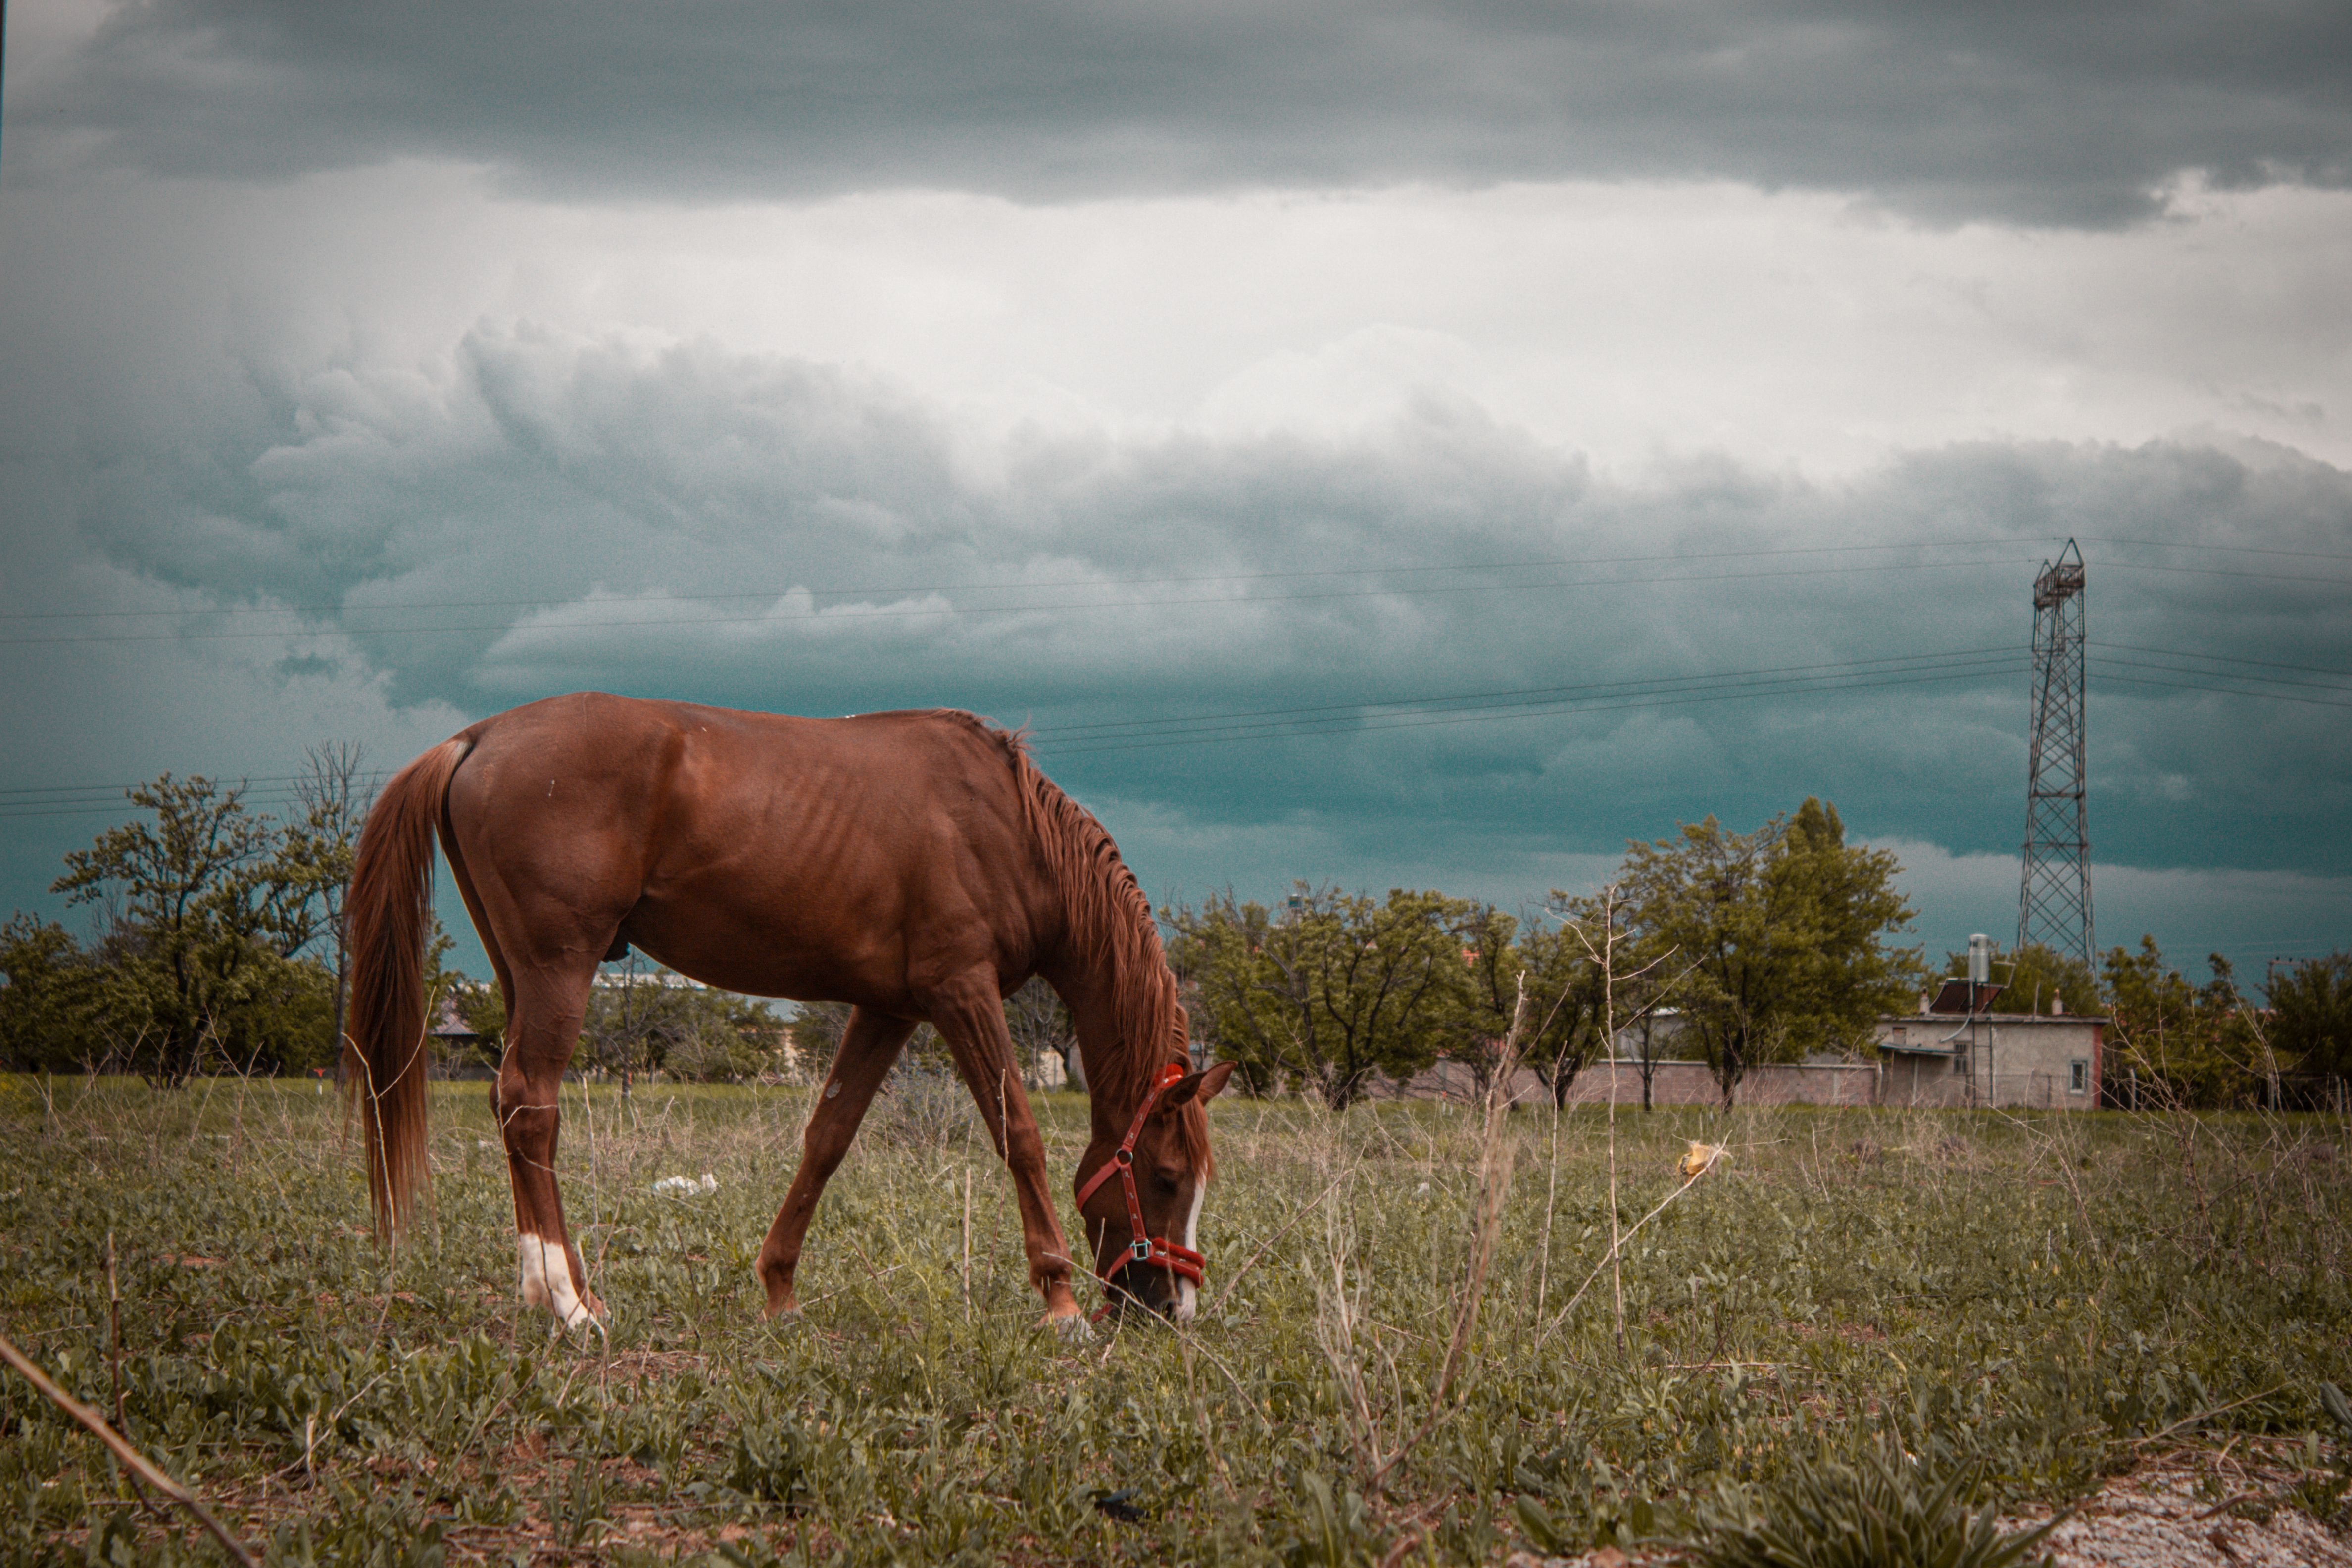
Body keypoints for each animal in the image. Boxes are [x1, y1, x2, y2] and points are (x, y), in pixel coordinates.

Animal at [342, 693, 1234, 1334]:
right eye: (1164, 1178)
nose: (1174, 1310)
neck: (1009, 829)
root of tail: (478, 736)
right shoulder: (962, 991)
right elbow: (1018, 1133)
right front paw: (1059, 1303)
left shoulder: (888, 1008)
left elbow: (826, 1141)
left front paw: (778, 1291)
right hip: (559, 970)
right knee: (530, 1105)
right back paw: (572, 1303)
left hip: (519, 972)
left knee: (511, 1106)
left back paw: (539, 1287)